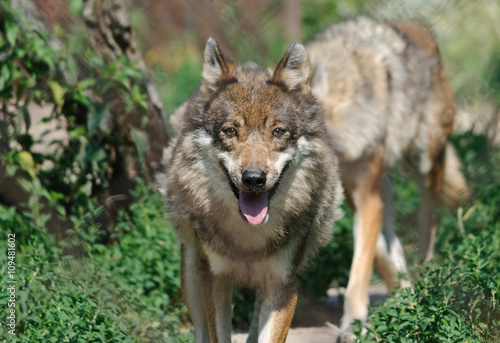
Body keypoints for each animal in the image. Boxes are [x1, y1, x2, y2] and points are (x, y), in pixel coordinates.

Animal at [158, 39, 342, 342]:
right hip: (192, 272)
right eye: (230, 131)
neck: (249, 240)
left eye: (278, 132)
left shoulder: (283, 284)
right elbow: (218, 334)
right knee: (200, 328)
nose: (254, 179)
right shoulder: (214, 276)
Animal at [304, 17, 468, 338]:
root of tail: (420, 27)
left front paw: (354, 325)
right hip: (387, 185)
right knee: (394, 238)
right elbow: (377, 253)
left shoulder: (367, 199)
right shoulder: (357, 198)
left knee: (428, 220)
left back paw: (427, 279)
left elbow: (359, 271)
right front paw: (402, 297)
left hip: (424, 162)